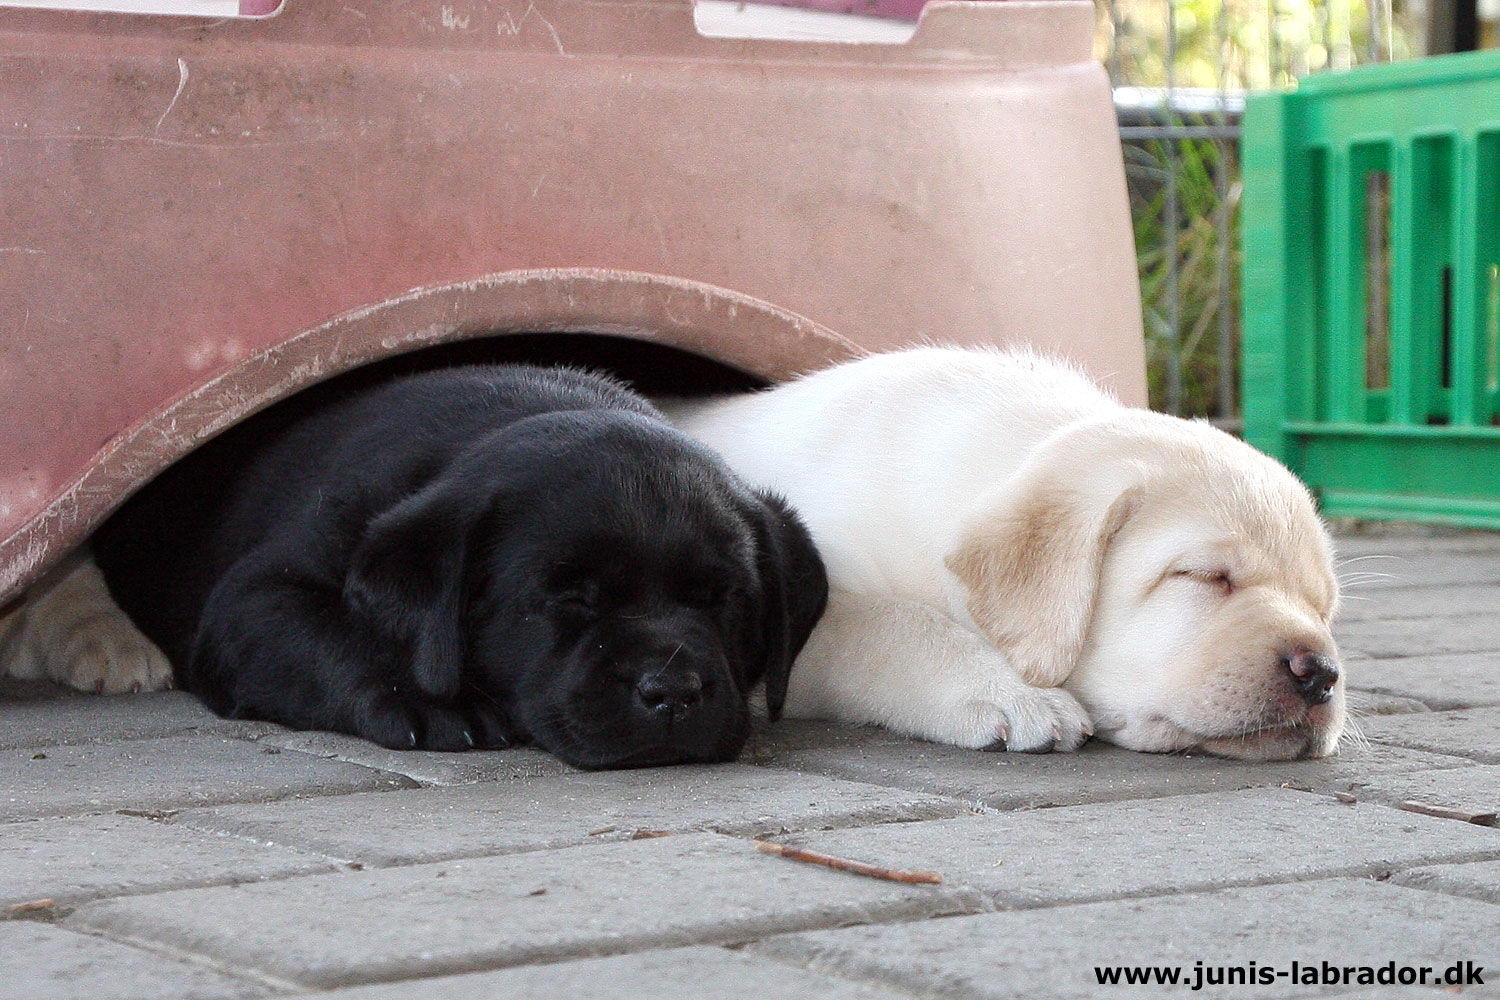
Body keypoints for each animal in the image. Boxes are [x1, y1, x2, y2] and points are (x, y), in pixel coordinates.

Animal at [96, 365, 822, 767]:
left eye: (723, 599)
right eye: (570, 598)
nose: (671, 691)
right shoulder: (253, 599)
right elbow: (330, 635)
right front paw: (432, 700)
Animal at [663, 347, 1344, 761]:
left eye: (1323, 607)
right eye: (1205, 577)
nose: (1322, 674)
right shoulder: (803, 609)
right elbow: (893, 623)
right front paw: (1013, 692)